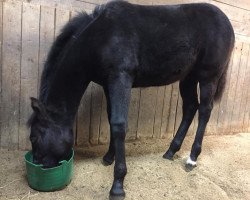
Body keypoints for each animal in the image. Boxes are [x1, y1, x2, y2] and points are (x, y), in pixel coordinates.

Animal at [28, 1, 235, 198]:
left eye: (34, 136)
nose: (38, 163)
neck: (101, 37)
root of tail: (226, 22)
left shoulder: (121, 78)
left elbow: (119, 125)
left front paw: (117, 185)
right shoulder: (109, 84)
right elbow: (111, 120)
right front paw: (108, 157)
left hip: (208, 77)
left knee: (205, 110)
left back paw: (192, 158)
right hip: (188, 77)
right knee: (190, 107)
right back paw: (171, 151)